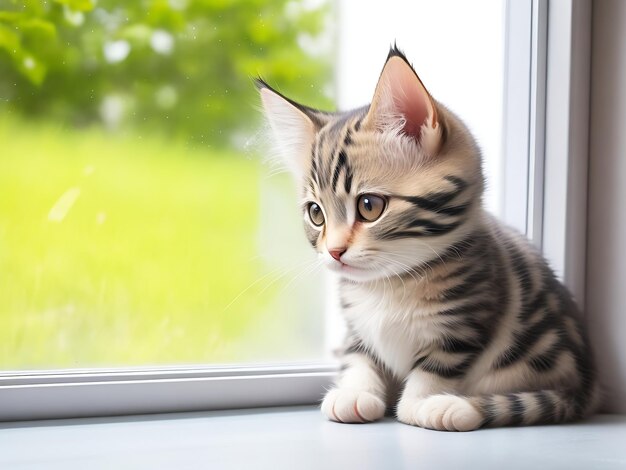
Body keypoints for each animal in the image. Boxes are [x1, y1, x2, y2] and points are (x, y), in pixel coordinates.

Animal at [258, 46, 596, 430]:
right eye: (316, 214)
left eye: (369, 206)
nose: (334, 251)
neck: (387, 287)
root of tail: (586, 385)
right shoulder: (357, 328)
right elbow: (358, 355)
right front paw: (355, 392)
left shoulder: (465, 323)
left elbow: (435, 368)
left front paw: (420, 404)